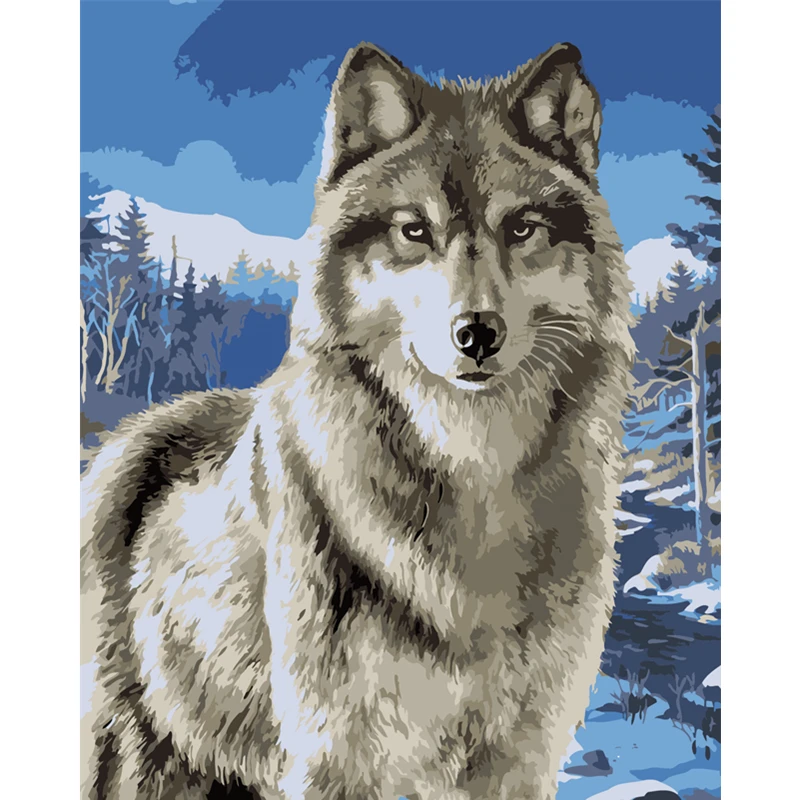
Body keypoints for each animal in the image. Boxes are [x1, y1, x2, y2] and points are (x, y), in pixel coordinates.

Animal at [81, 41, 634, 800]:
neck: (474, 479)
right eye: (414, 230)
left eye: (521, 228)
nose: (477, 333)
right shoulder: (336, 756)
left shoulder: (519, 759)